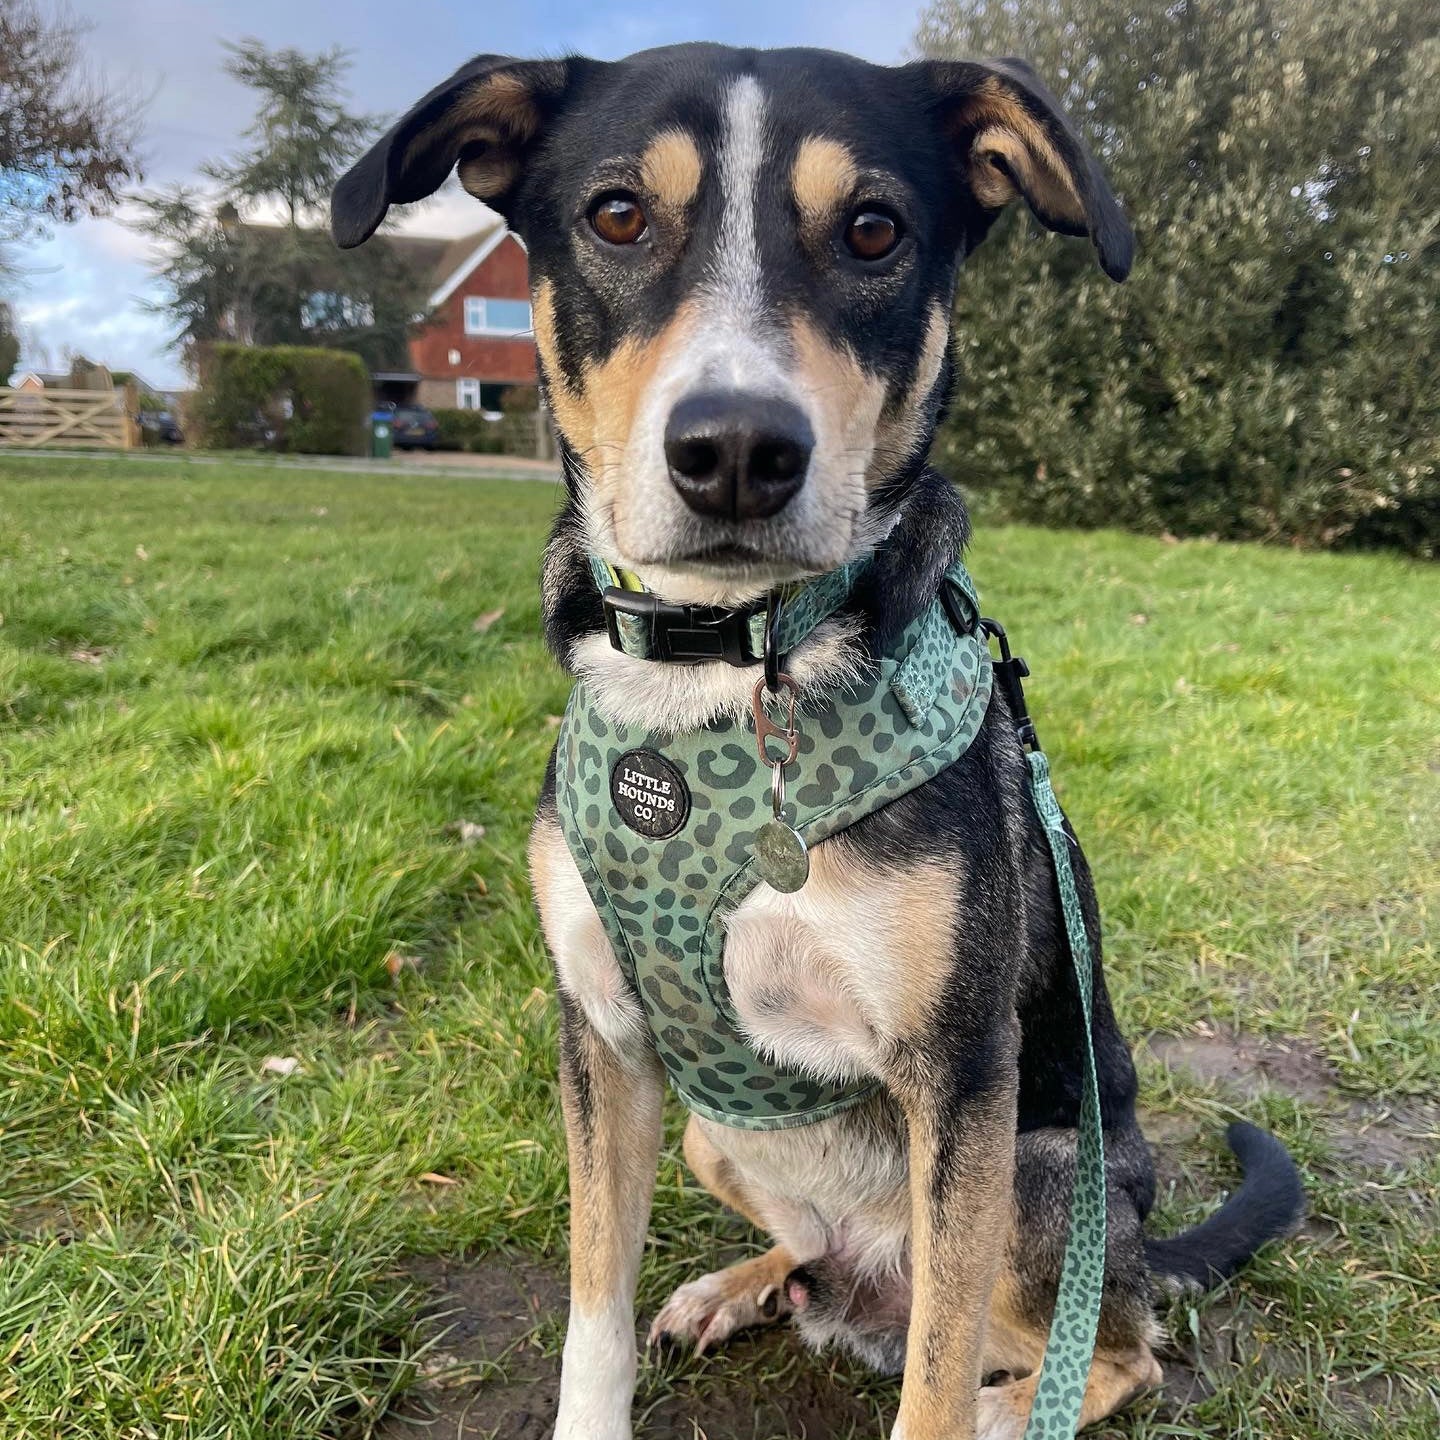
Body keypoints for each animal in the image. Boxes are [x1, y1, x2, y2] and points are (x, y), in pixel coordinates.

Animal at [334, 42, 1307, 1440]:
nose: (738, 449)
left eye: (873, 231)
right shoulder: (601, 1040)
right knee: (812, 1247)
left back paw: (1018, 1402)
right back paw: (743, 1286)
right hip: (713, 1135)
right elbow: (591, 1311)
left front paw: (962, 1409)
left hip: (1041, 1175)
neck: (722, 676)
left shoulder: (960, 1077)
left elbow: (936, 1383)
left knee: (1114, 1346)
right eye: (616, 215)